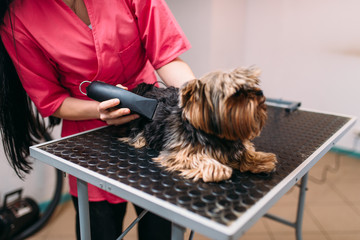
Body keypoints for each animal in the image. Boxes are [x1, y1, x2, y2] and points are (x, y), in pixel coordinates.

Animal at [119, 66, 278, 181]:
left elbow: (245, 151)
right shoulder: (180, 152)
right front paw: (219, 169)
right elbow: (196, 158)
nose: (259, 93)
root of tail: (149, 89)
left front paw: (260, 159)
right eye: (237, 92)